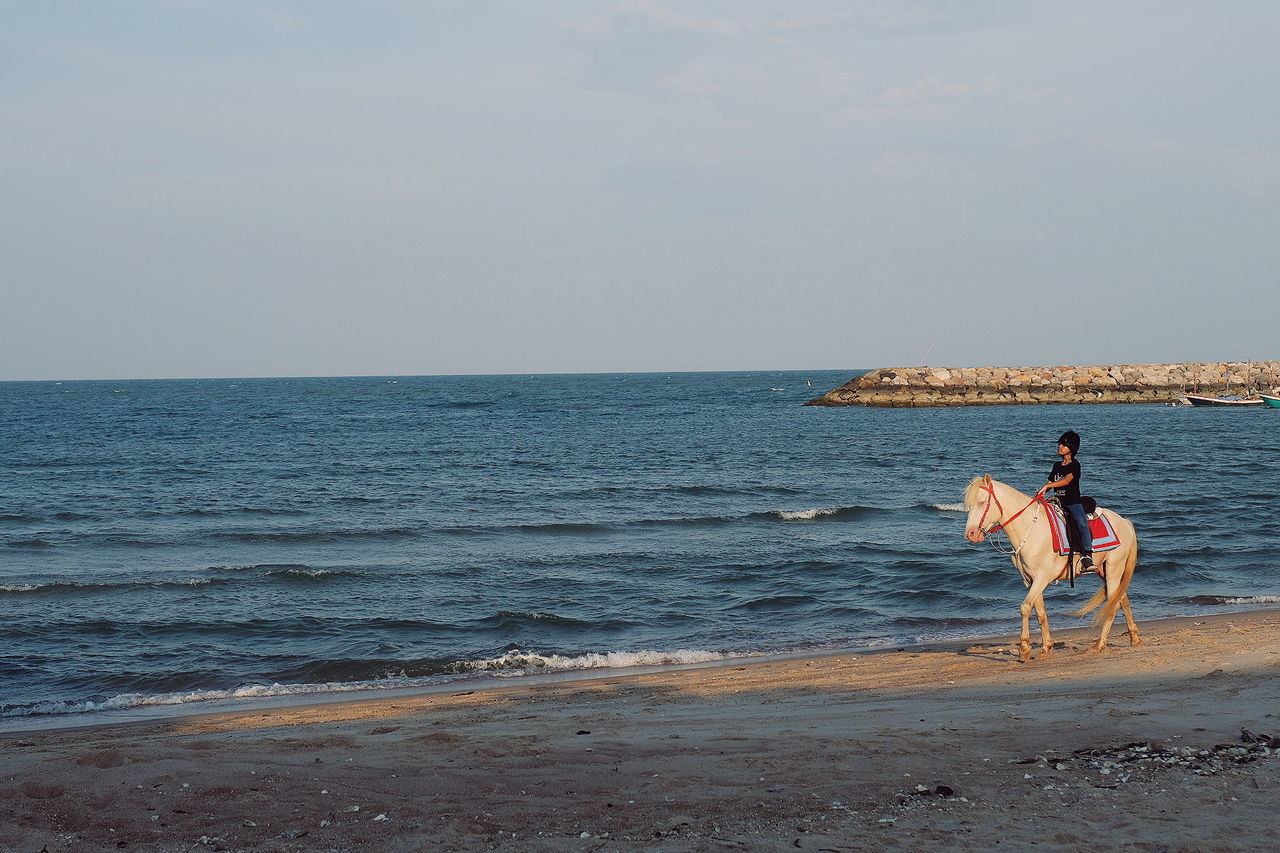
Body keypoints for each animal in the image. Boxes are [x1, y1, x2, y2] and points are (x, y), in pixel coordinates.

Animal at [962, 473, 1141, 660]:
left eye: (982, 502)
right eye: (970, 505)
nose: (971, 534)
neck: (1031, 530)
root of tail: (1125, 522)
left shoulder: (1042, 578)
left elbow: (1025, 607)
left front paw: (1024, 649)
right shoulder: (1030, 580)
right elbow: (1040, 612)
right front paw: (1046, 647)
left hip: (1114, 570)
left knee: (1113, 606)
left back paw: (1099, 645)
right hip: (1104, 571)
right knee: (1123, 600)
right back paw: (1134, 638)